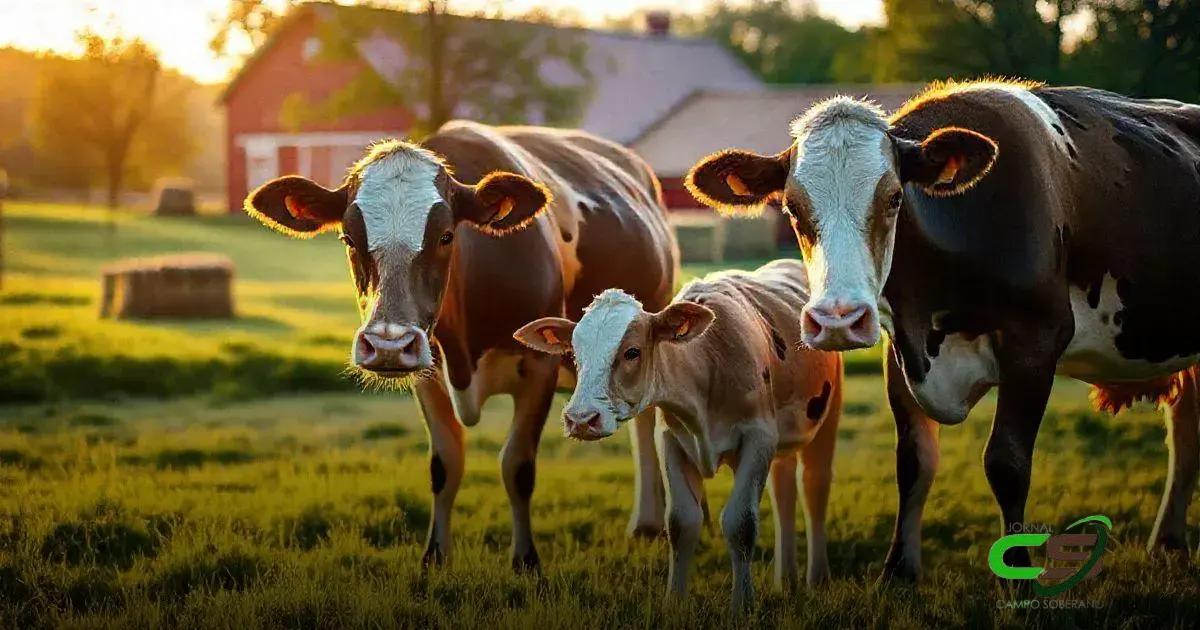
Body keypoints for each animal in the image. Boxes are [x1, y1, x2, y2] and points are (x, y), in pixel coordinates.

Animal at [243, 121, 678, 572]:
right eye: (348, 238)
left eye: (446, 235)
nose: (387, 345)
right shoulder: (426, 370)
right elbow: (444, 465)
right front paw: (435, 556)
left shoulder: (539, 366)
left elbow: (518, 465)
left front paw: (526, 561)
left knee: (647, 422)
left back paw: (648, 523)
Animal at [515, 259, 843, 609]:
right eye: (575, 354)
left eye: (632, 352)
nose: (580, 419)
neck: (708, 364)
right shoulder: (671, 441)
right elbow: (681, 523)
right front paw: (675, 601)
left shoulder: (759, 438)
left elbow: (741, 522)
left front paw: (742, 605)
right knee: (783, 491)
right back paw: (786, 580)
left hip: (827, 414)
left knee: (814, 486)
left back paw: (818, 578)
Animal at [684, 79, 1200, 580]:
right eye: (791, 206)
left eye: (895, 197)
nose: (838, 319)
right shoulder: (901, 350)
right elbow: (914, 462)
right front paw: (898, 573)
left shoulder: (1035, 343)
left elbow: (1007, 463)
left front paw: (1016, 577)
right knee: (1185, 429)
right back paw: (1168, 541)